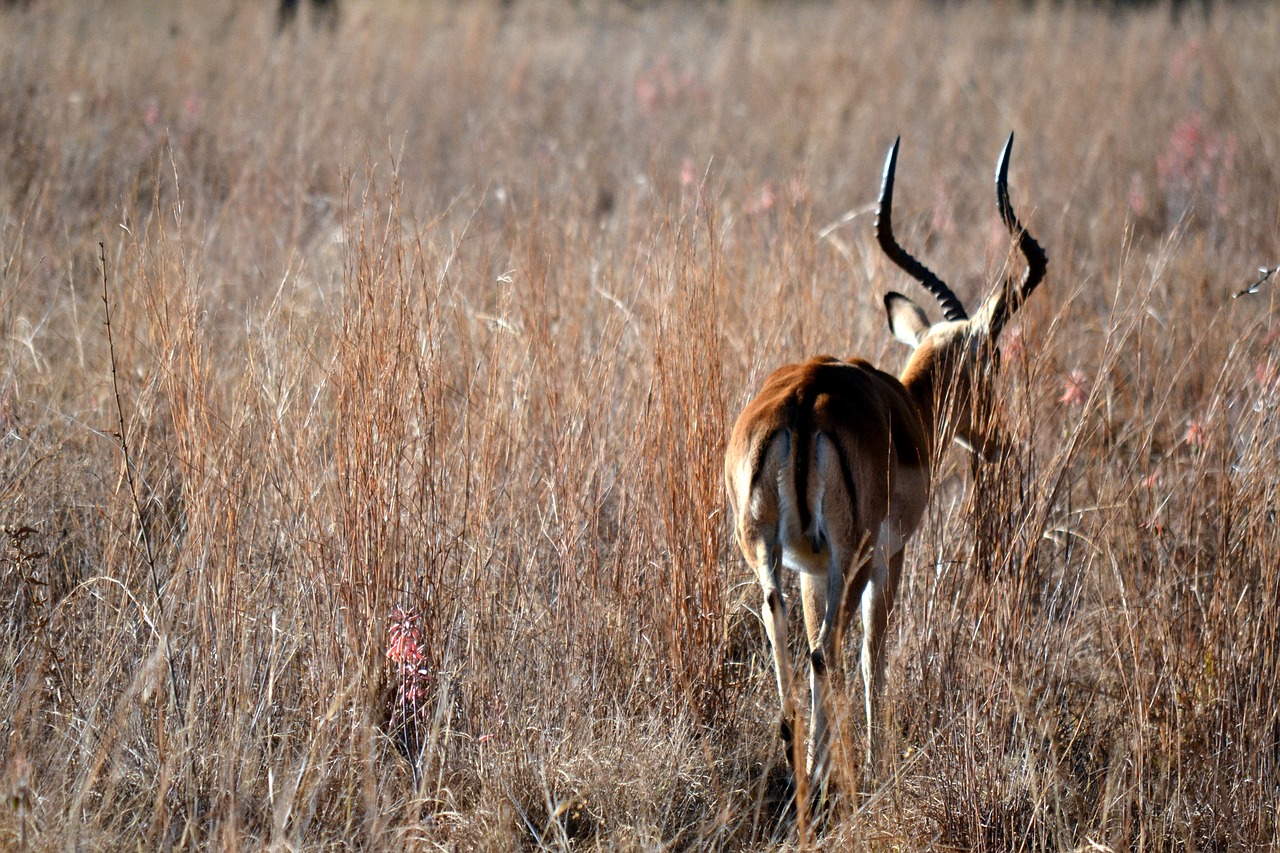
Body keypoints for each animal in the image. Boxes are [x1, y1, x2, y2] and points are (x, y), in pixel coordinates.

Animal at [727, 129, 1044, 778]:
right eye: (995, 361)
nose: (1000, 443)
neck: (909, 408)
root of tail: (803, 400)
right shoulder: (889, 557)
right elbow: (875, 651)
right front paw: (877, 754)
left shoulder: (809, 568)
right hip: (853, 557)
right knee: (828, 651)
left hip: (768, 558)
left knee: (789, 644)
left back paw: (800, 761)